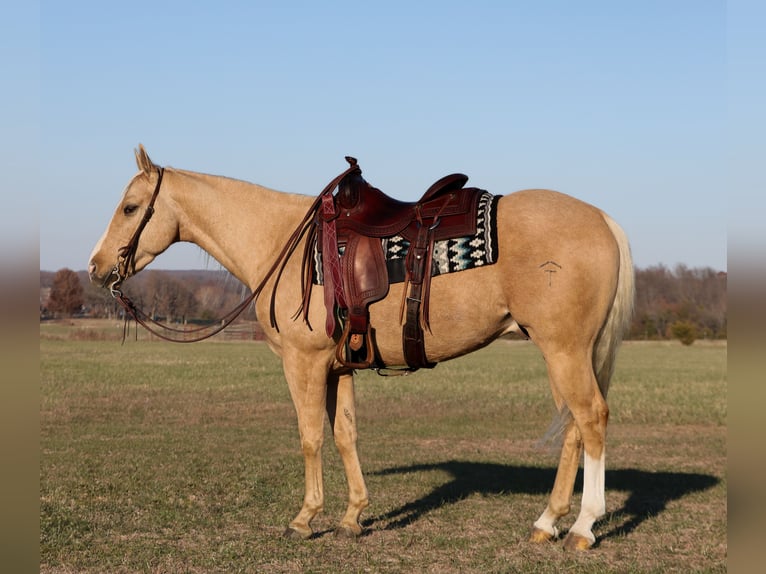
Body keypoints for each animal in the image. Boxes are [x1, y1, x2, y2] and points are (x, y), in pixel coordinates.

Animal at [88, 146, 636, 552]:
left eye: (130, 208)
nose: (96, 267)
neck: (283, 243)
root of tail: (603, 219)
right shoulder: (339, 368)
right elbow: (345, 435)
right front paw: (353, 516)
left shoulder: (304, 363)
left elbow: (310, 437)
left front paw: (305, 518)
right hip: (561, 353)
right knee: (573, 428)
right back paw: (547, 523)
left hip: (564, 350)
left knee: (590, 419)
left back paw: (583, 527)